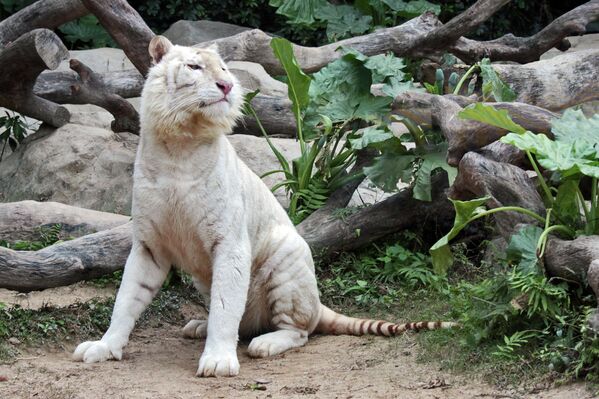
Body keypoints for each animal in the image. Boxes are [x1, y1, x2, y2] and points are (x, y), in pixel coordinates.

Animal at [72, 36, 458, 376]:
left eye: (225, 68)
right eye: (195, 67)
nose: (227, 85)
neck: (178, 147)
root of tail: (319, 303)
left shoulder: (229, 242)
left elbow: (226, 306)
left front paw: (218, 362)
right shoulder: (149, 244)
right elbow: (126, 300)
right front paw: (104, 347)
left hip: (285, 260)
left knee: (298, 331)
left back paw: (265, 343)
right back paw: (198, 325)